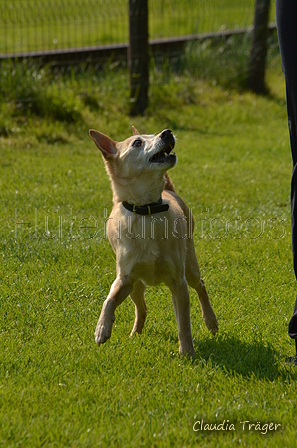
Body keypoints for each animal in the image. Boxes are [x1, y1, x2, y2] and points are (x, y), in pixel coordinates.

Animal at [88, 128, 217, 356]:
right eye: (137, 143)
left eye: (153, 133)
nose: (167, 132)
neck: (147, 210)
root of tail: (169, 189)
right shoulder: (124, 280)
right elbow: (108, 300)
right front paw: (102, 328)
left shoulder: (179, 283)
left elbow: (184, 324)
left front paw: (187, 352)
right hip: (135, 287)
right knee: (142, 308)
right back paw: (135, 334)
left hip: (190, 266)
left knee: (200, 285)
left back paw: (210, 320)